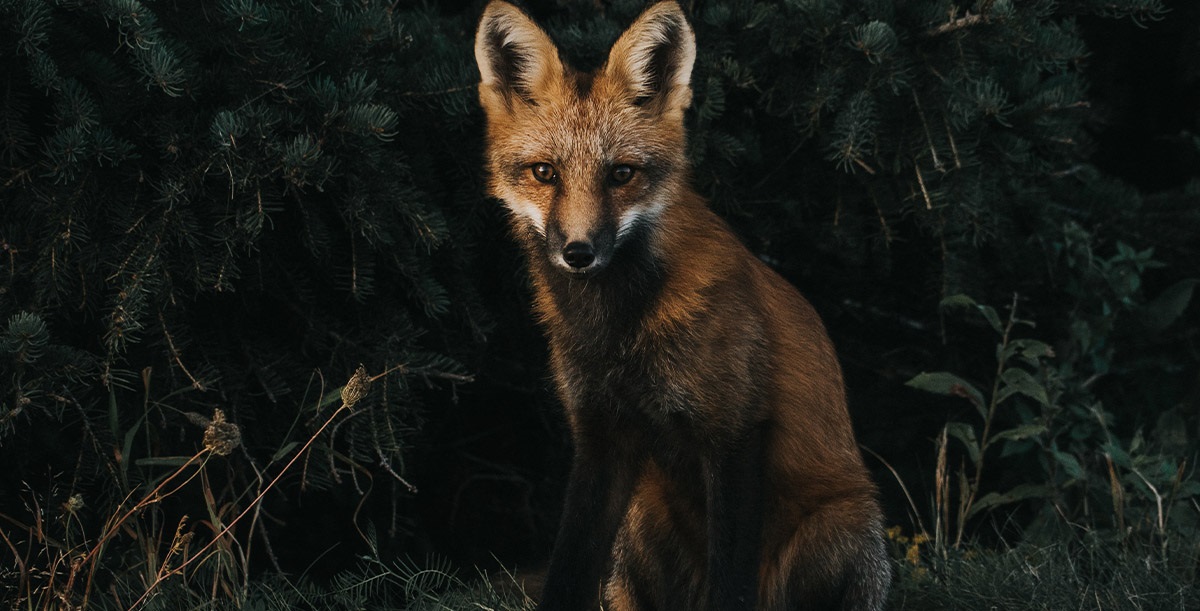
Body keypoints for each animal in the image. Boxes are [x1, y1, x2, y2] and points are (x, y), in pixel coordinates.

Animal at [474, 2, 891, 610]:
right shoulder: (600, 434)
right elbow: (569, 565)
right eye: (544, 173)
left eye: (621, 174)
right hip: (639, 519)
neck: (618, 330)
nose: (579, 252)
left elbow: (730, 581)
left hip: (845, 524)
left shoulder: (735, 429)